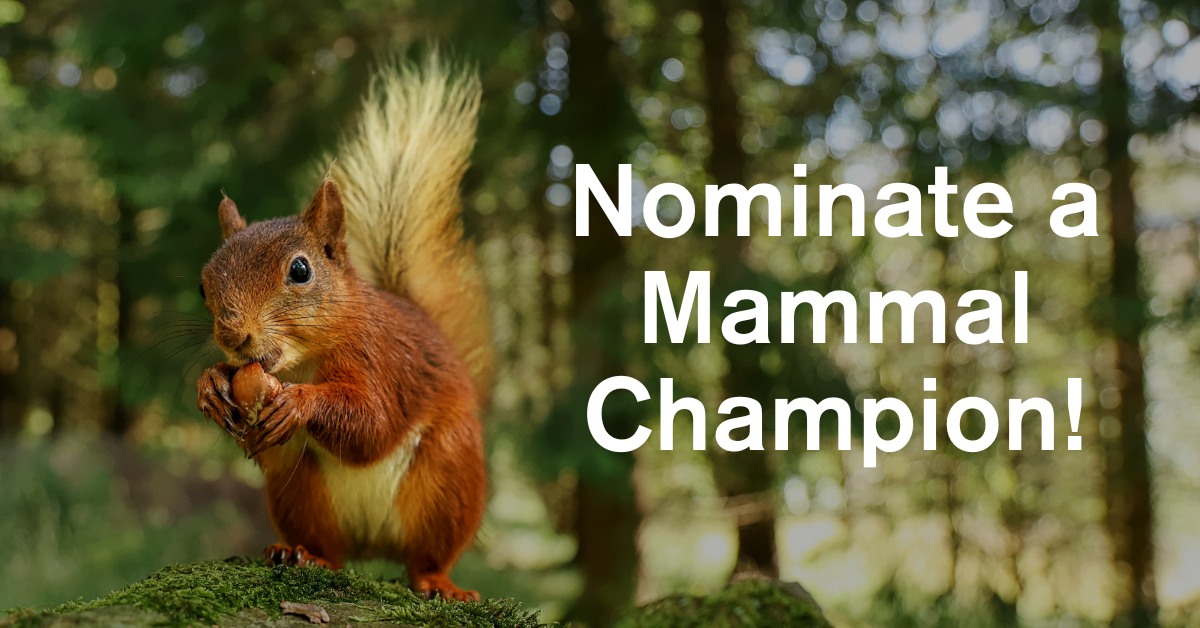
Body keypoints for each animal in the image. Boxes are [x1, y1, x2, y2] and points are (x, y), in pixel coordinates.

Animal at [194, 54, 491, 602]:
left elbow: (372, 423)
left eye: (300, 270)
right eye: (203, 285)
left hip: (449, 478)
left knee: (426, 559)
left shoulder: (380, 359)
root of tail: (373, 545)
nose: (233, 337)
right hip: (299, 492)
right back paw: (300, 554)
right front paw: (210, 385)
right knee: (327, 549)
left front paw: (299, 403)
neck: (303, 361)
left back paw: (439, 583)